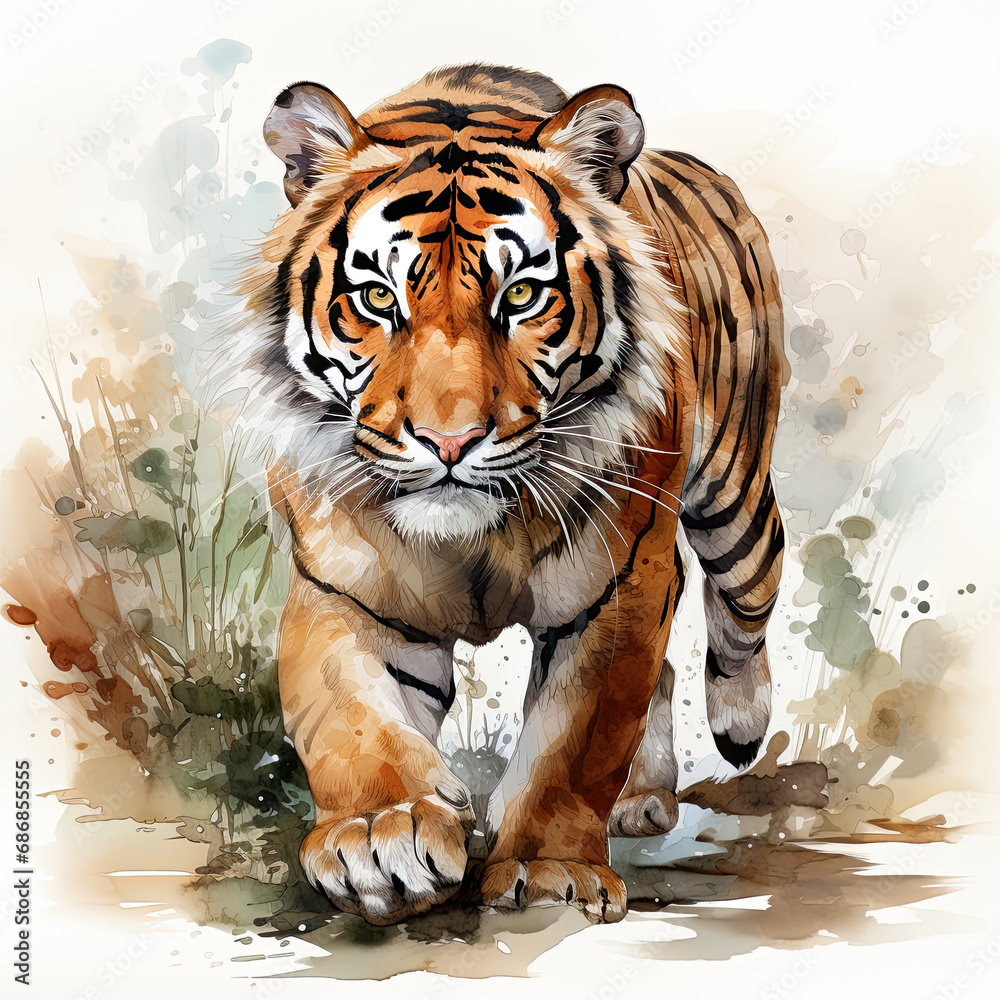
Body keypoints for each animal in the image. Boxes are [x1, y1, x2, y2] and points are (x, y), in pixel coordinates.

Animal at [220, 62, 785, 926]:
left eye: (520, 297)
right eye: (378, 300)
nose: (449, 442)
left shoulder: (615, 589)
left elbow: (574, 743)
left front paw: (553, 872)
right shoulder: (343, 589)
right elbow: (350, 718)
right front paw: (381, 836)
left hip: (732, 499)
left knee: (749, 593)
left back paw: (739, 719)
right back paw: (640, 799)